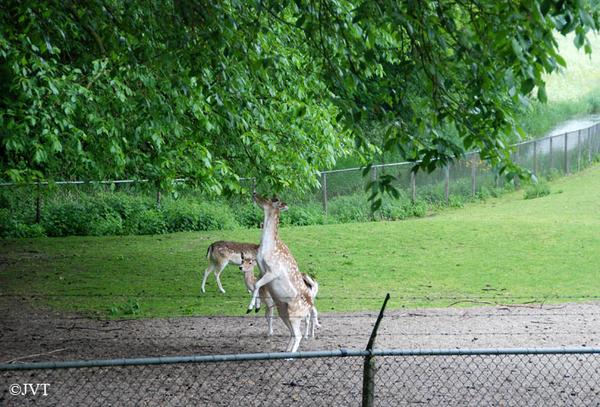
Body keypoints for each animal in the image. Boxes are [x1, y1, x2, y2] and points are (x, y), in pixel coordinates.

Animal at [245, 194, 318, 354]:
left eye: (271, 200)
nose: (255, 194)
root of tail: (310, 304)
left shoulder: (273, 271)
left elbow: (257, 284)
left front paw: (250, 307)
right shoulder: (262, 270)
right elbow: (256, 284)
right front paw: (256, 307)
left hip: (294, 314)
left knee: (298, 334)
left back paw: (290, 355)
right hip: (283, 311)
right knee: (292, 333)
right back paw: (285, 352)